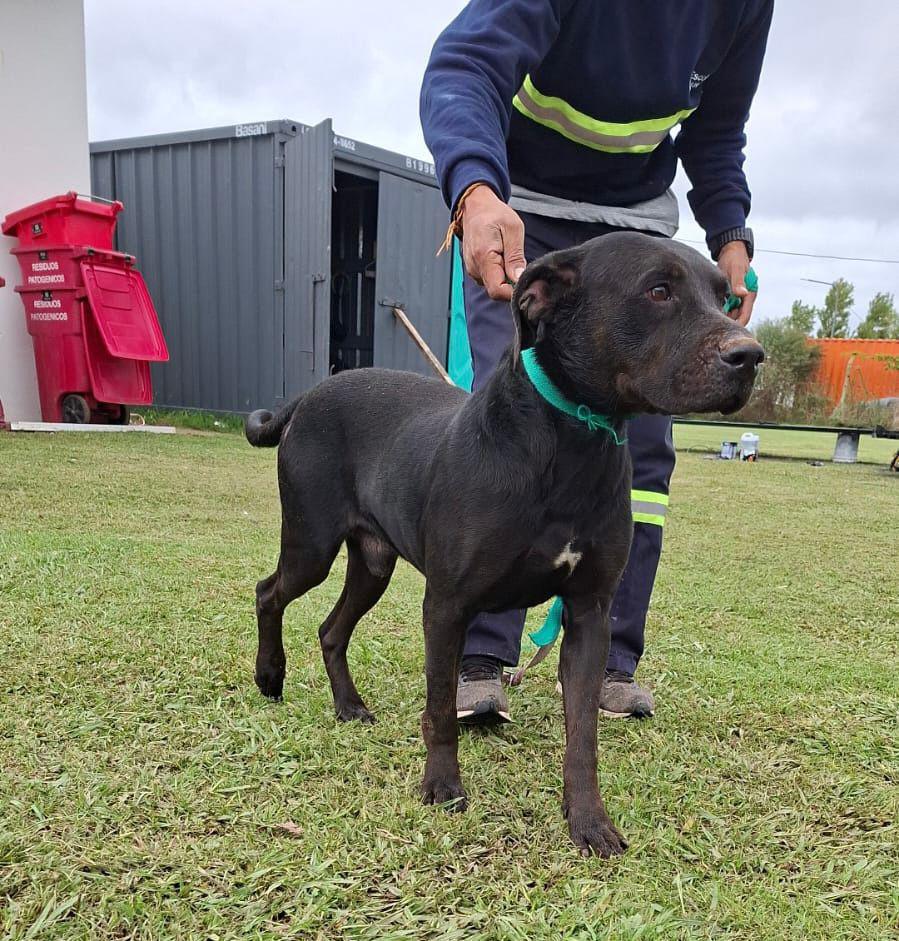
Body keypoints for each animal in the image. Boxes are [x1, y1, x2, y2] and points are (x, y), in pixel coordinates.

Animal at [245, 232, 763, 856]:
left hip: (373, 562)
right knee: (268, 592)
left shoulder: (589, 613)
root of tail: (308, 395)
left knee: (330, 628)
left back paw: (348, 705)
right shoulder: (447, 606)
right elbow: (442, 708)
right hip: (312, 543)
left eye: (725, 298)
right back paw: (270, 675)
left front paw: (588, 820)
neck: (569, 443)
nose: (751, 356)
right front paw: (443, 786)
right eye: (658, 290)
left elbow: (583, 734)